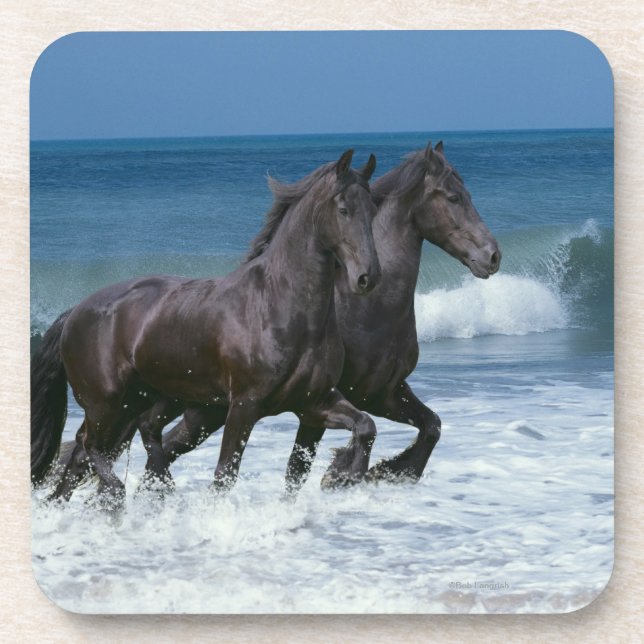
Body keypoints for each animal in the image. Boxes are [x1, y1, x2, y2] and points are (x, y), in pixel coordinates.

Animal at [31, 149, 381, 506]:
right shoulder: (244, 405)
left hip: (154, 401)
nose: (367, 277)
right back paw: (120, 494)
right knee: (88, 444)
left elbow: (358, 431)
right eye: (343, 209)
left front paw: (344, 476)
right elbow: (226, 474)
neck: (280, 308)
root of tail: (75, 311)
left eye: (373, 209)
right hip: (107, 403)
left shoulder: (313, 405)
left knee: (111, 444)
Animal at [159, 141, 501, 492]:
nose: (492, 256)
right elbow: (297, 471)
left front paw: (386, 471)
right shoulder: (325, 406)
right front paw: (341, 475)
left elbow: (432, 425)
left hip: (207, 411)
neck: (371, 310)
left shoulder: (383, 394)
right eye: (453, 197)